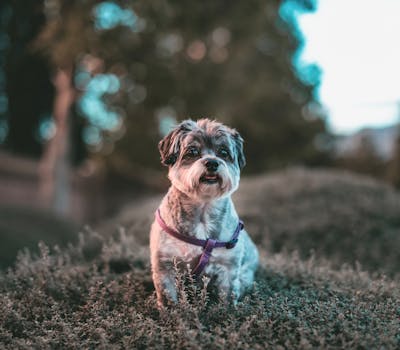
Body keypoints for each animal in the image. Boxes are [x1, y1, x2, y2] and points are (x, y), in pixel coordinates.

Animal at [150, 118, 260, 306]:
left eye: (223, 152)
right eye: (193, 151)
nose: (212, 162)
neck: (203, 209)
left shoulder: (228, 267)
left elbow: (228, 296)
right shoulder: (165, 266)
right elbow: (168, 298)